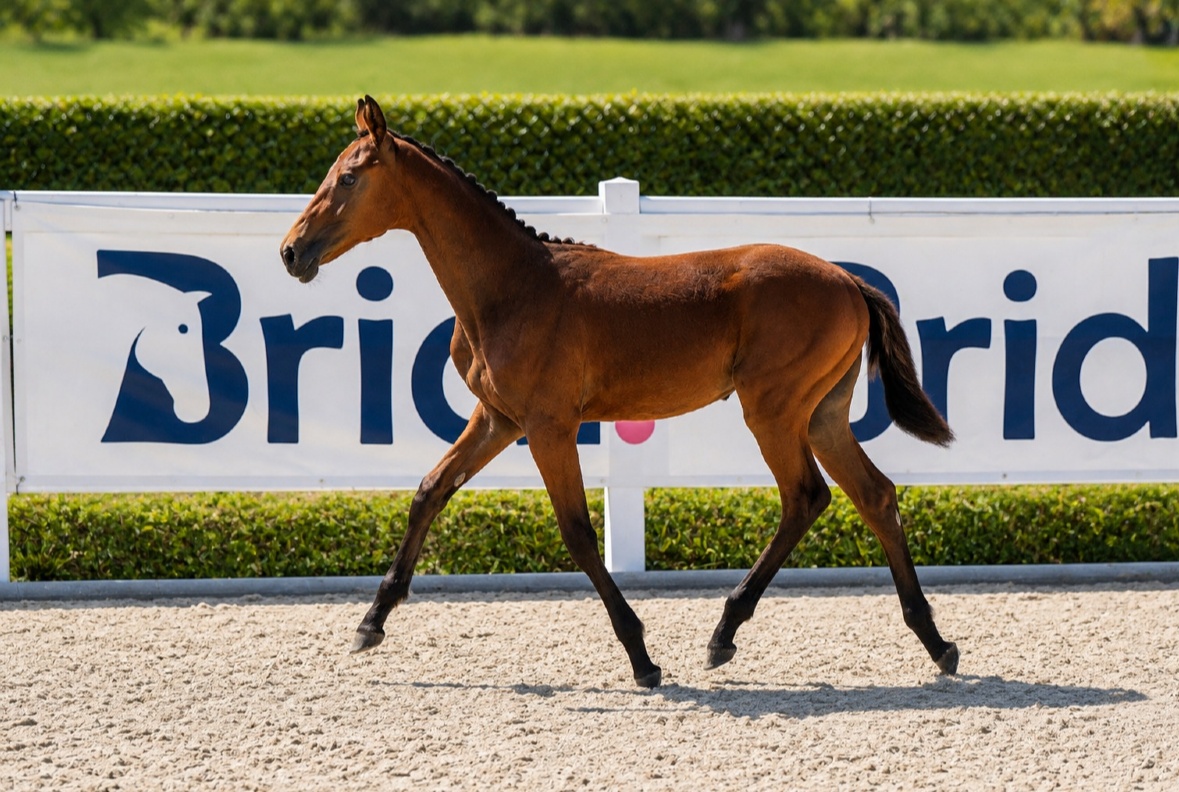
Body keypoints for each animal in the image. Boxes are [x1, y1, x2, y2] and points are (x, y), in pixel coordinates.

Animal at [281, 95, 959, 688]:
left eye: (348, 178)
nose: (291, 251)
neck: (513, 288)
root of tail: (848, 280)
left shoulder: (549, 425)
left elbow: (578, 531)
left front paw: (642, 658)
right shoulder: (498, 418)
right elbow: (429, 492)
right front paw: (370, 624)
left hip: (774, 409)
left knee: (805, 496)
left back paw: (724, 633)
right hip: (823, 414)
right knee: (874, 495)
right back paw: (936, 642)